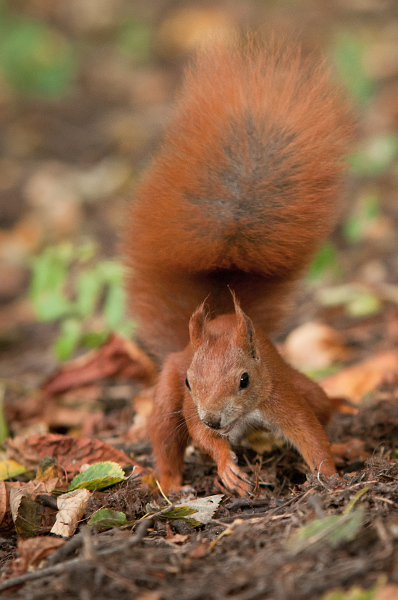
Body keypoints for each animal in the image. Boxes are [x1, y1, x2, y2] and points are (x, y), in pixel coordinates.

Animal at [123, 38, 352, 496]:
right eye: (191, 381)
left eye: (244, 379)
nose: (215, 417)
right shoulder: (188, 401)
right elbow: (199, 434)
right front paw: (226, 464)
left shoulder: (280, 397)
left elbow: (311, 434)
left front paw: (332, 477)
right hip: (165, 395)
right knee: (166, 435)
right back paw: (168, 481)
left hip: (302, 384)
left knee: (322, 406)